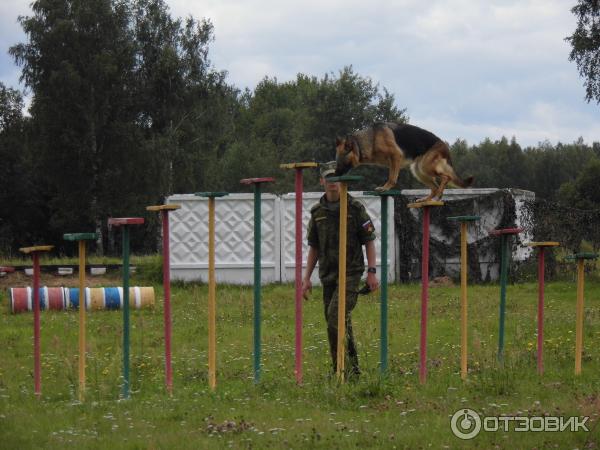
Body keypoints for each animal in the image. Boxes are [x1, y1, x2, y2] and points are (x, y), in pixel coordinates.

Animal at [336, 122, 472, 201]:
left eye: (341, 159)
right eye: (336, 159)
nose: (336, 174)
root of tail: (444, 145)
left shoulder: (396, 156)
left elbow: (392, 178)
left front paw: (385, 188)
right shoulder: (392, 162)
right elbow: (391, 175)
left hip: (426, 167)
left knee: (446, 177)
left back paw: (439, 195)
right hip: (418, 171)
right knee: (434, 187)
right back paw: (426, 199)